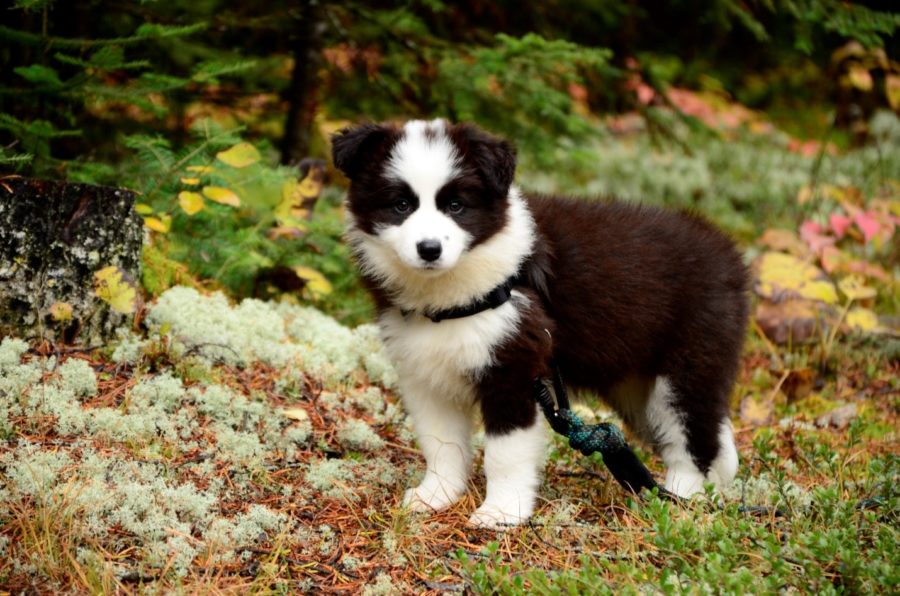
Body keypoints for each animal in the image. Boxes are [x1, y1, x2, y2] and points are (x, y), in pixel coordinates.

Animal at [334, 118, 748, 528]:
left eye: (455, 206)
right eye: (401, 205)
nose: (429, 249)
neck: (454, 295)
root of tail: (728, 252)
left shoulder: (514, 368)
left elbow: (504, 452)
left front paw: (501, 512)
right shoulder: (426, 375)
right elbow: (441, 444)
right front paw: (436, 495)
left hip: (689, 364)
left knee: (693, 435)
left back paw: (680, 499)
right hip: (636, 384)